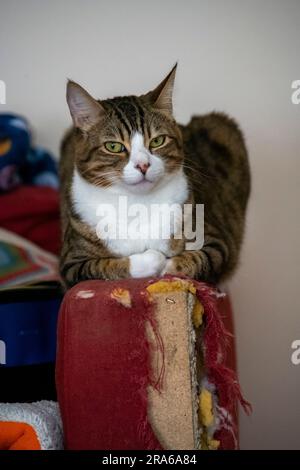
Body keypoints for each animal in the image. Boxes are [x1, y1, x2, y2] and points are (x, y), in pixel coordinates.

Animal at [59, 64, 250, 288]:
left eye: (158, 141)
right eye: (113, 146)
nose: (143, 165)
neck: (137, 203)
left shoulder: (215, 241)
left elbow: (198, 259)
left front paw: (167, 266)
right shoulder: (71, 264)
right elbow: (102, 266)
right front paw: (153, 259)